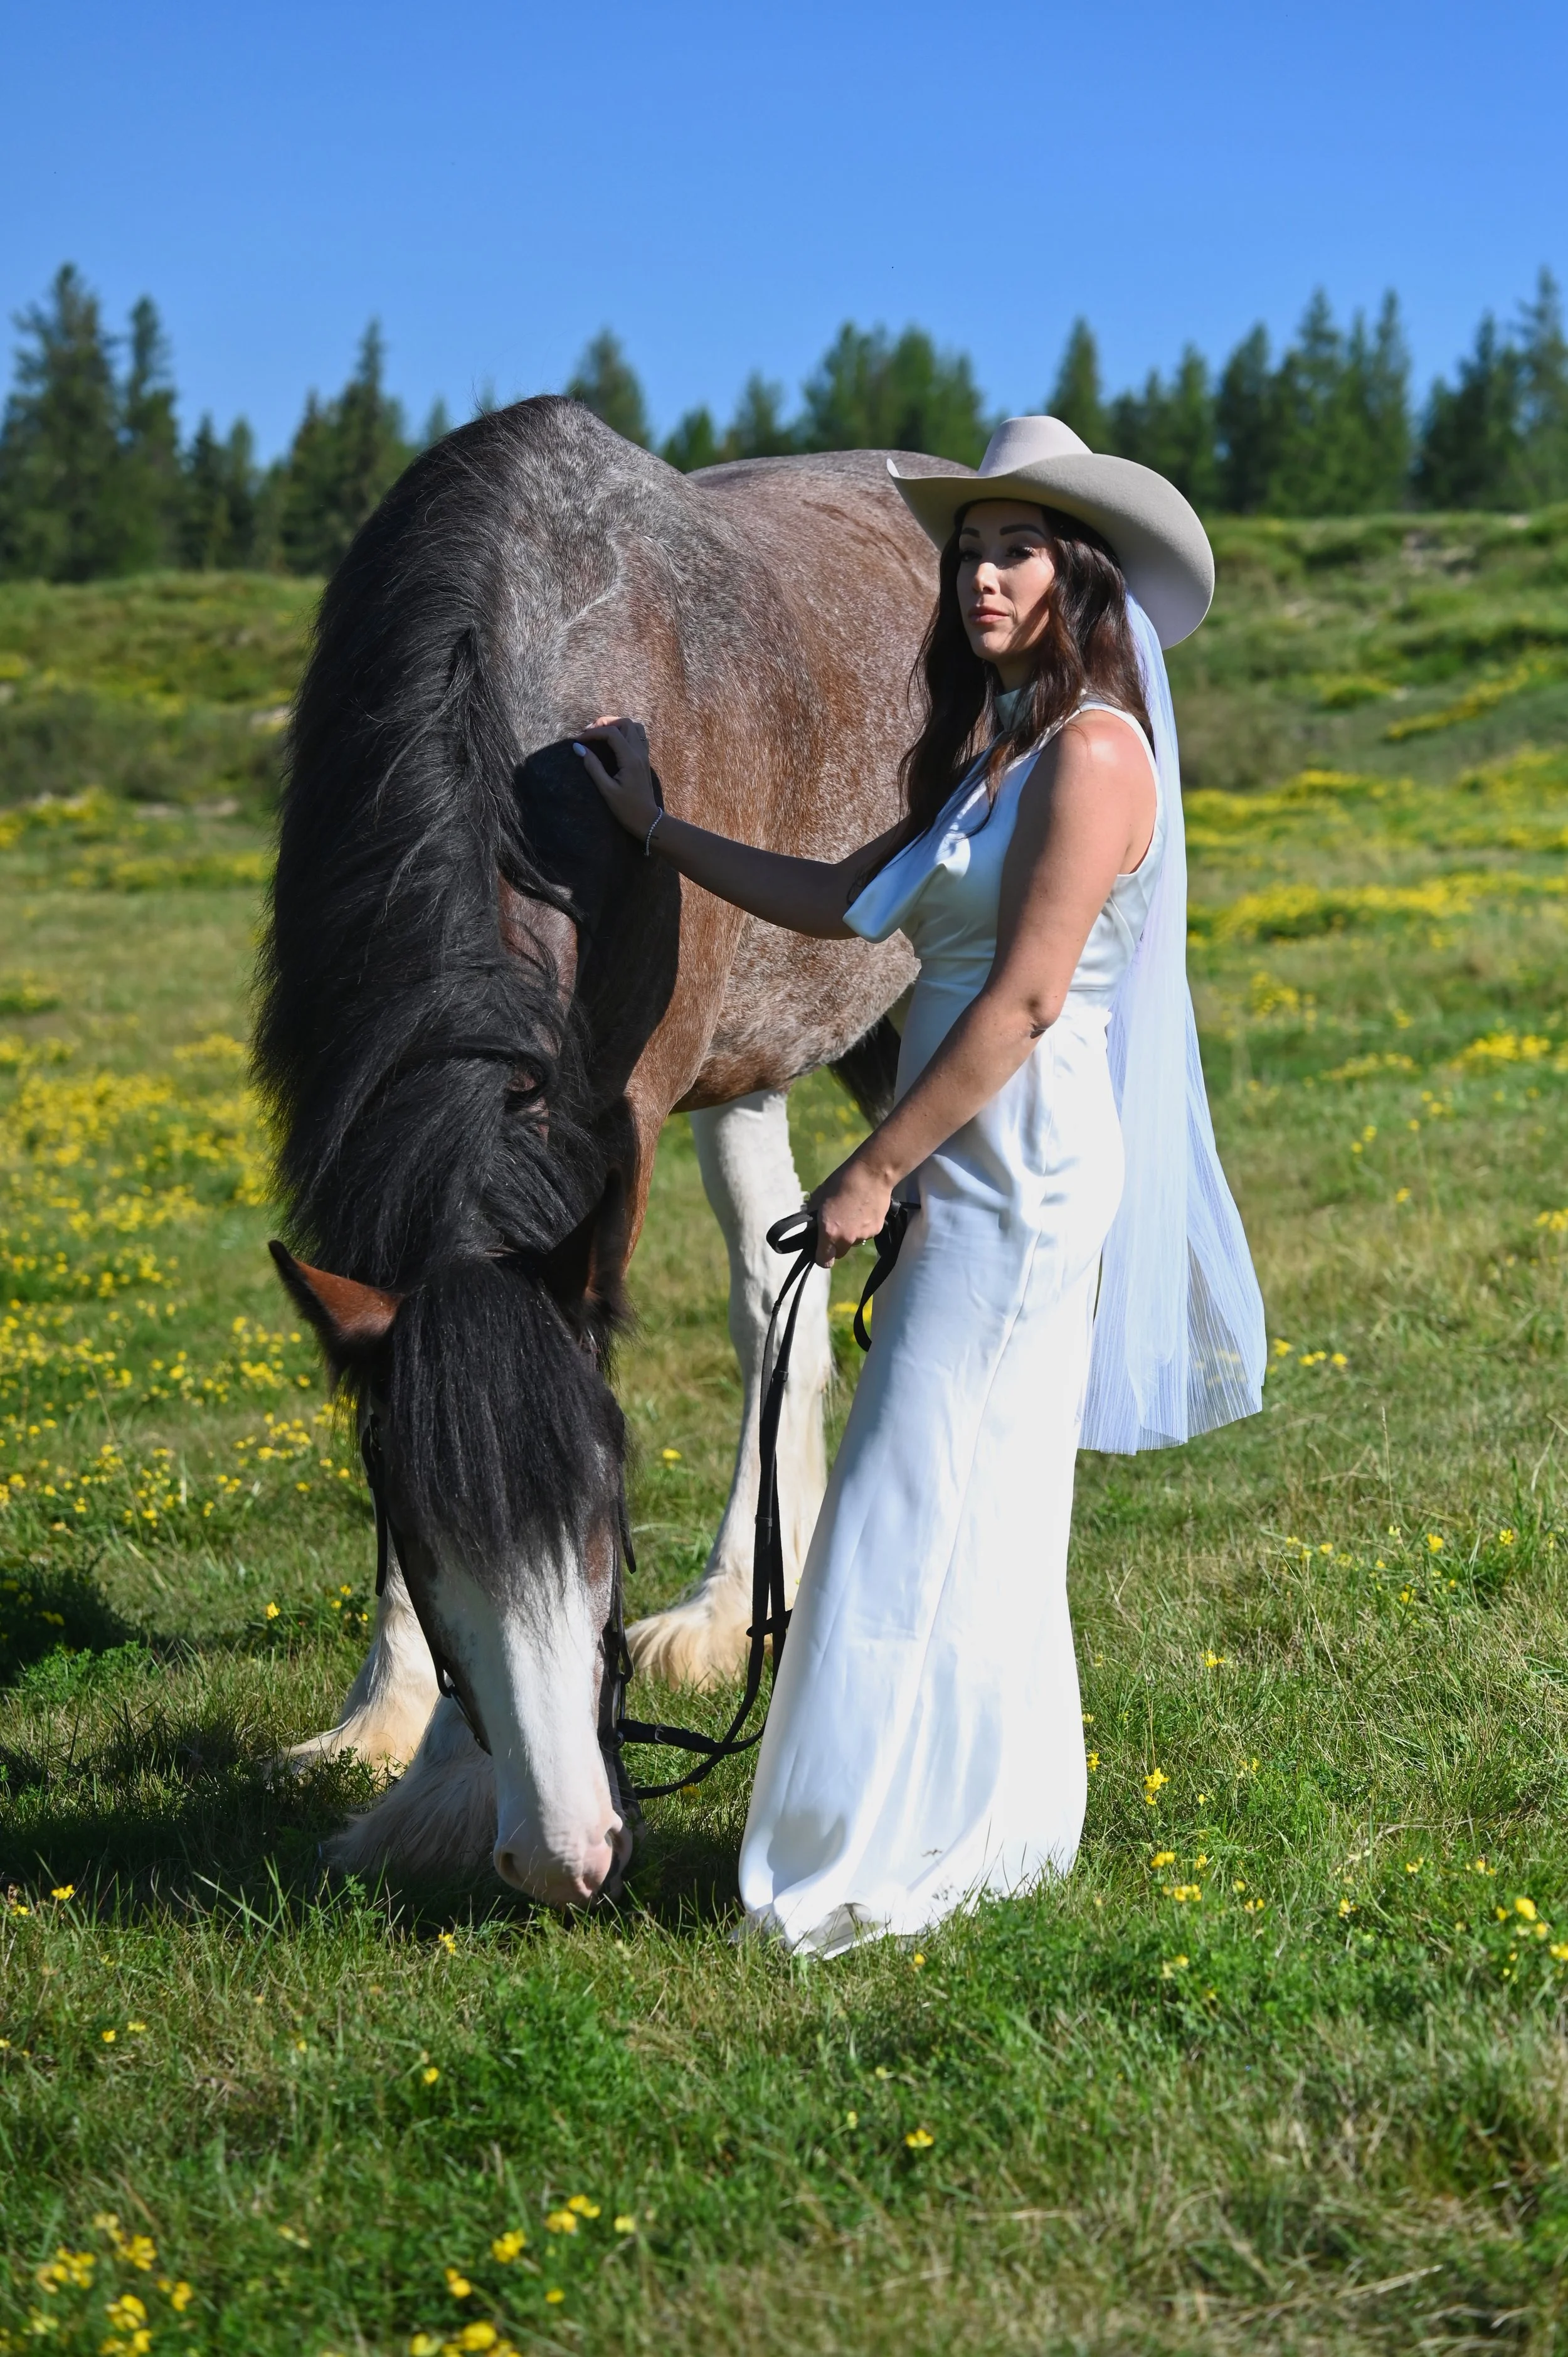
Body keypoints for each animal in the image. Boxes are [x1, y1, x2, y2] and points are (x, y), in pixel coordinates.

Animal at [256, 396, 943, 1906]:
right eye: (420, 1534)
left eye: (603, 1516)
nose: (565, 1854)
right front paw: (386, 1722)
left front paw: (443, 1783)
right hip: (755, 1069)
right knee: (775, 1307)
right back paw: (741, 1603)